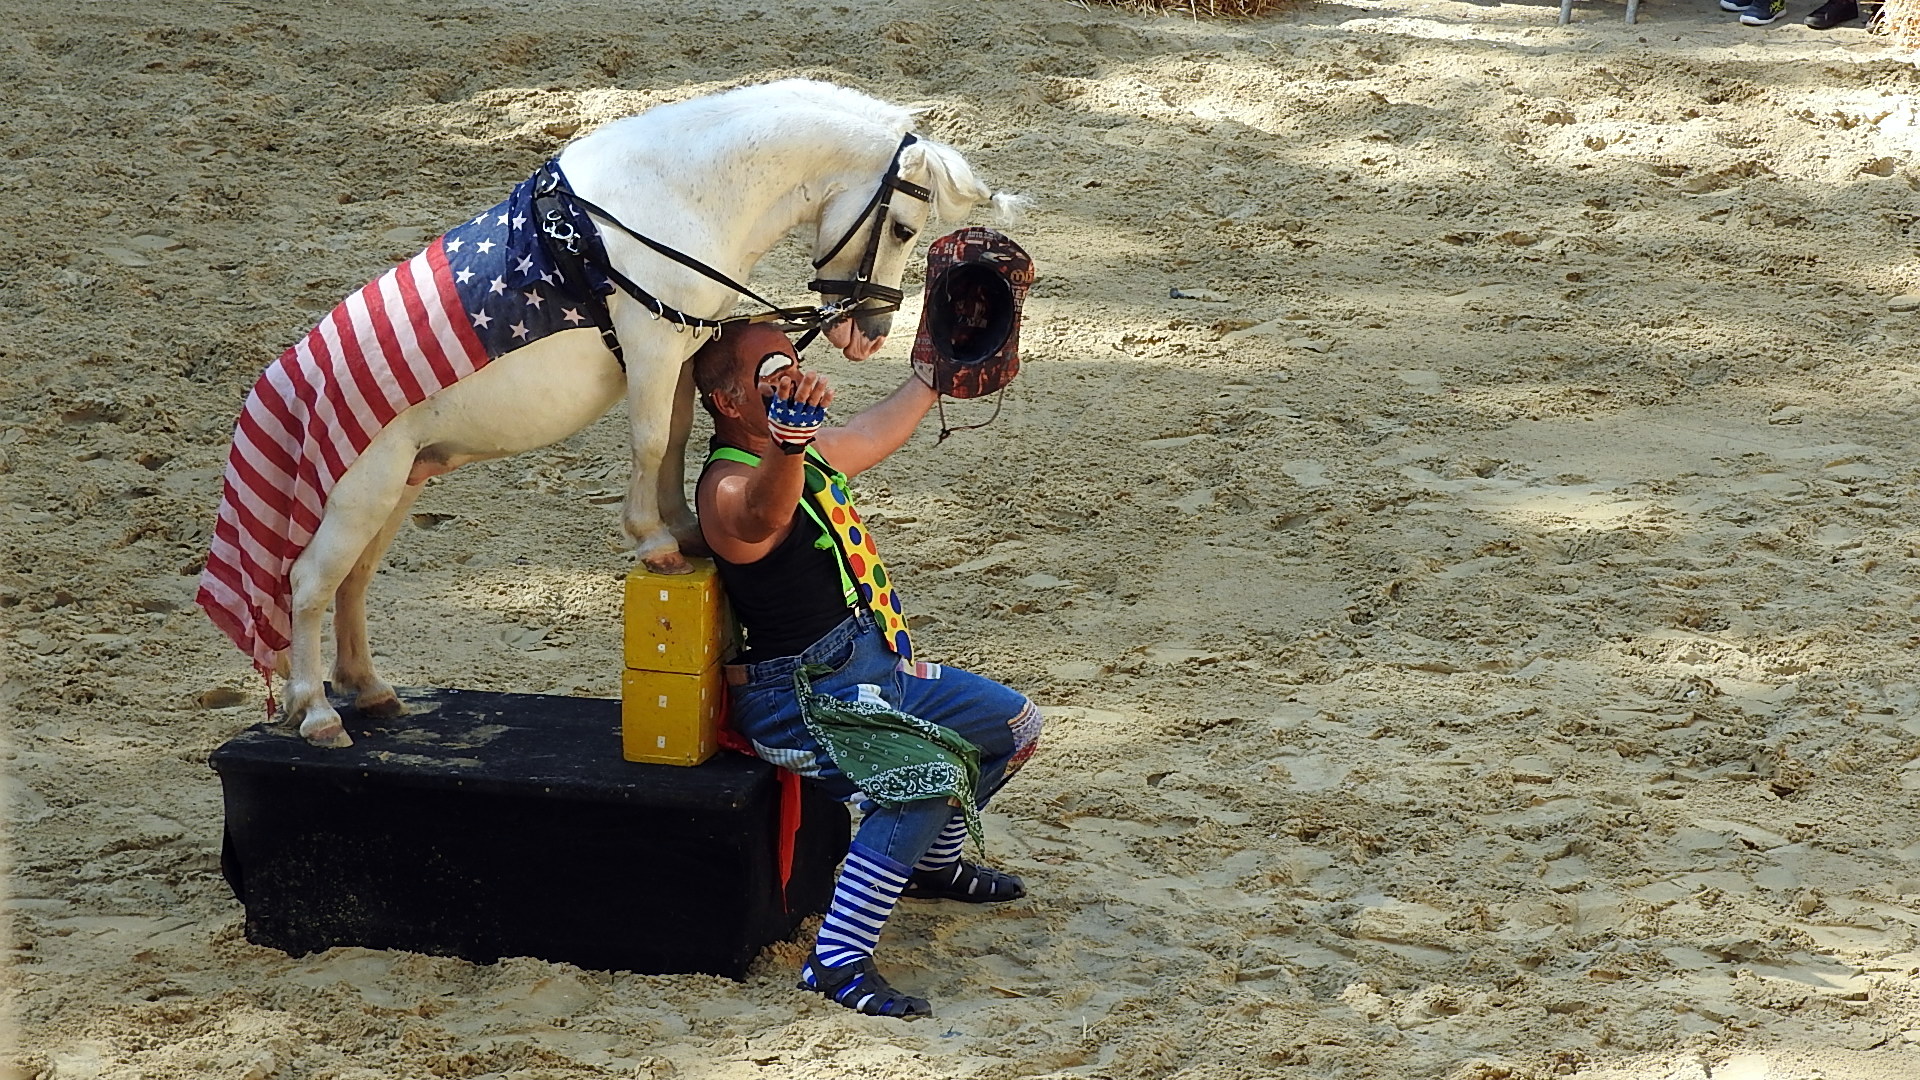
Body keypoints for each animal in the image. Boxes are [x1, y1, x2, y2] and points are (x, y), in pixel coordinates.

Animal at [195, 79, 1019, 748]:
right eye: (905, 228)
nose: (870, 331)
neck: (677, 194)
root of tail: (291, 385)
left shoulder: (685, 346)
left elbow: (679, 438)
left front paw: (683, 530)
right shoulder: (651, 345)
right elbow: (652, 440)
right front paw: (653, 542)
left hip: (400, 487)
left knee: (353, 582)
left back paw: (367, 690)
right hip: (363, 490)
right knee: (309, 584)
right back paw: (316, 713)